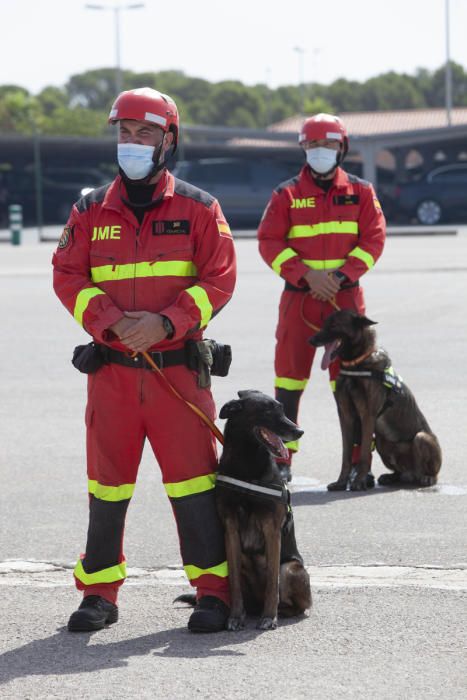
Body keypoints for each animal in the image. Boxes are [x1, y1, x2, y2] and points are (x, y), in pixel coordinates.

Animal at [217, 392, 312, 632]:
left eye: (282, 409)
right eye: (268, 411)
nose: (299, 431)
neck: (246, 464)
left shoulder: (272, 530)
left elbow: (272, 583)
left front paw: (269, 616)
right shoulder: (230, 530)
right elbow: (234, 584)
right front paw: (235, 616)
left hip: (291, 568)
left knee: (296, 604)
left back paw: (278, 611)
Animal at [310, 312, 442, 492]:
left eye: (334, 325)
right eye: (324, 324)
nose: (311, 340)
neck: (356, 364)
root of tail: (412, 474)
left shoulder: (368, 415)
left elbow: (364, 454)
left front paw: (359, 481)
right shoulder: (345, 416)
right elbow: (346, 455)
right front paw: (341, 482)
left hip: (421, 438)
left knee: (432, 473)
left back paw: (427, 477)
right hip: (381, 442)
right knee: (400, 472)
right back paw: (392, 477)